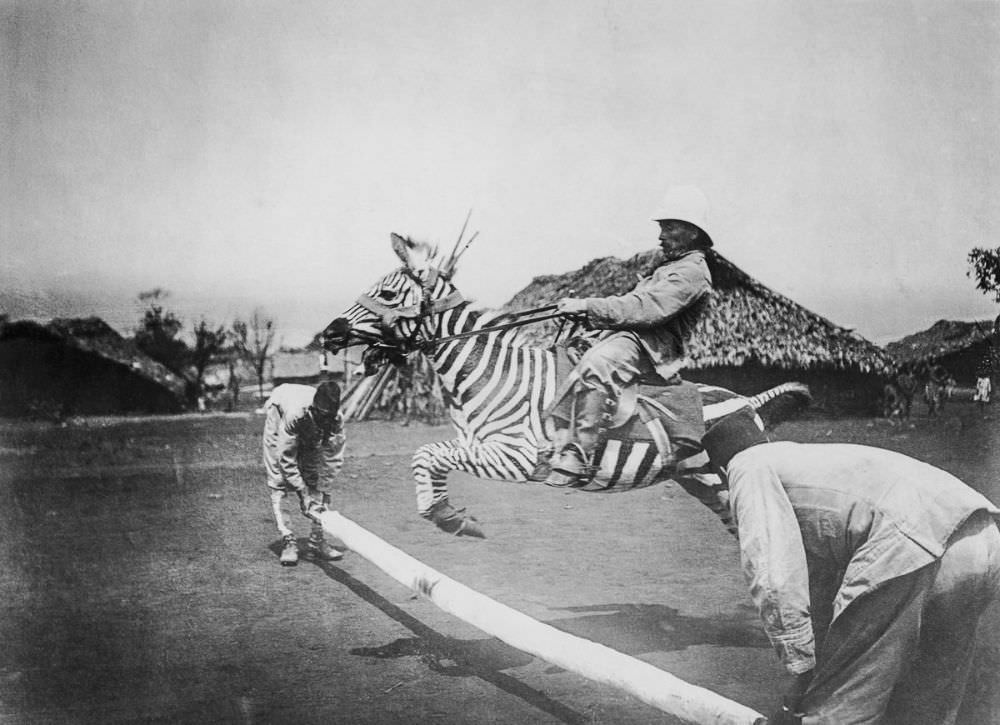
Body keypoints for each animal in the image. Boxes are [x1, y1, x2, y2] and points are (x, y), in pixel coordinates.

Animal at [324, 232, 808, 536]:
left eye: (388, 294)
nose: (329, 333)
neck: (495, 373)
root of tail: (747, 401)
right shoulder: (475, 446)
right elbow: (427, 456)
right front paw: (448, 515)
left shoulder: (515, 458)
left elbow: (428, 454)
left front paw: (447, 516)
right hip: (706, 482)